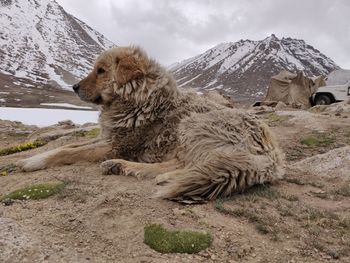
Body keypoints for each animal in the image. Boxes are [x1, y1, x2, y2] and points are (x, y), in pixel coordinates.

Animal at [17, 46, 284, 202]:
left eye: (101, 71)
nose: (73, 87)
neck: (139, 98)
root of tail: (273, 157)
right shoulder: (109, 138)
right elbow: (68, 147)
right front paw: (36, 156)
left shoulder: (116, 145)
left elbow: (66, 152)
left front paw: (33, 161)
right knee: (185, 164)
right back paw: (122, 167)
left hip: (194, 125)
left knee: (193, 165)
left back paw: (144, 172)